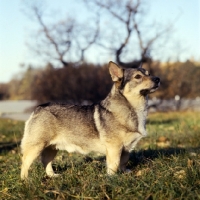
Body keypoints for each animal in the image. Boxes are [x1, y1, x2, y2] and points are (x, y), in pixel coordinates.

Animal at [21, 60, 160, 179]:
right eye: (138, 77)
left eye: (148, 74)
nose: (158, 79)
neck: (133, 107)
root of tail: (39, 108)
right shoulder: (114, 148)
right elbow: (114, 165)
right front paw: (112, 177)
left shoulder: (126, 148)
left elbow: (123, 162)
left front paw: (124, 172)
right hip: (36, 147)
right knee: (25, 163)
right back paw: (26, 180)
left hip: (52, 148)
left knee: (46, 162)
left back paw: (52, 175)